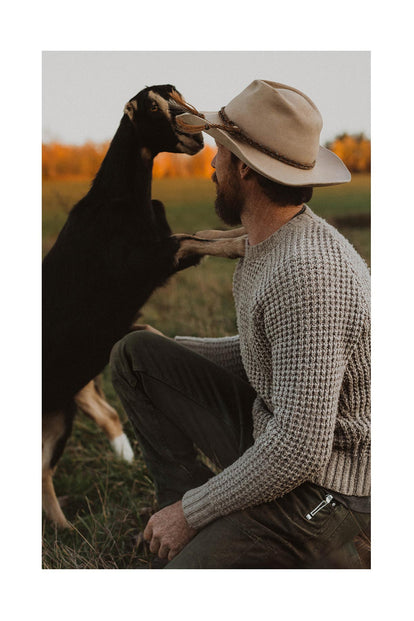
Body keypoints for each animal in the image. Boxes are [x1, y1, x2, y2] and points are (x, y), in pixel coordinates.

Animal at [41, 83, 246, 528]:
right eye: (151, 107)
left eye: (177, 95)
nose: (196, 134)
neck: (120, 199)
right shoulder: (146, 261)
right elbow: (192, 239)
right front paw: (242, 244)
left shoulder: (163, 254)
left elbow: (202, 234)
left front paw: (246, 231)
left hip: (62, 411)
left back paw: (66, 527)